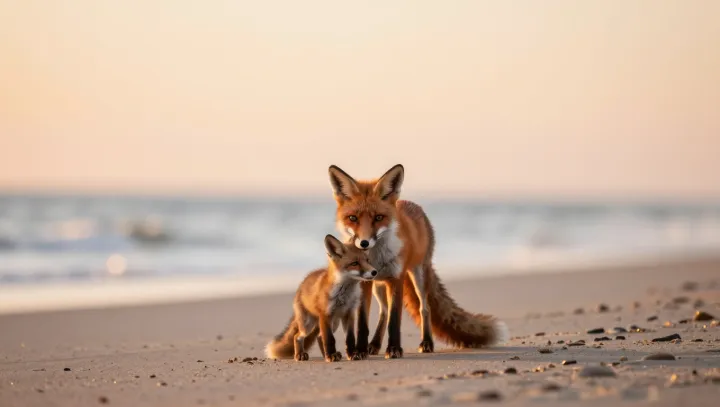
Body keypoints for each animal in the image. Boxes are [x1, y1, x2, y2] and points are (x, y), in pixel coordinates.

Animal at [327, 164, 509, 359]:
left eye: (378, 217)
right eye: (353, 218)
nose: (364, 243)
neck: (376, 257)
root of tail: (411, 204)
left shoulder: (396, 279)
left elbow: (394, 320)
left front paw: (394, 349)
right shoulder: (364, 283)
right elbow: (363, 322)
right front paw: (359, 351)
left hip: (418, 275)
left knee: (424, 308)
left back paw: (426, 342)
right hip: (379, 285)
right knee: (384, 311)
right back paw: (374, 345)